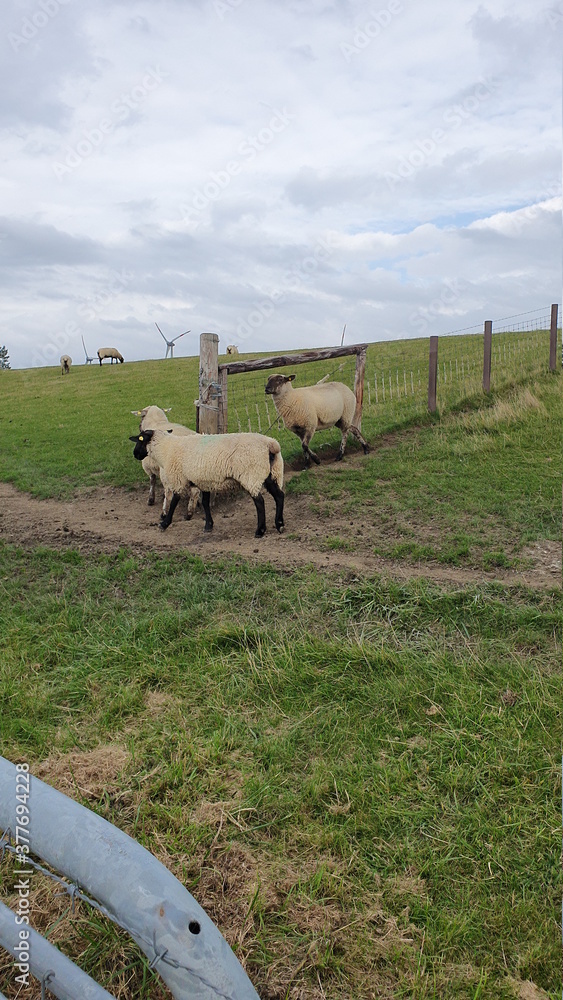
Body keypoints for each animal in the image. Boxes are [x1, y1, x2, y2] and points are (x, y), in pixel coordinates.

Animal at [129, 429, 285, 537]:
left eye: (140, 440)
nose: (135, 454)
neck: (166, 450)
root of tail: (271, 444)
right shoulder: (204, 481)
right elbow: (204, 503)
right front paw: (209, 525)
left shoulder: (179, 479)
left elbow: (174, 502)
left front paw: (164, 524)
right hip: (272, 474)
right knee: (279, 496)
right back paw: (280, 524)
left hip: (252, 475)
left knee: (260, 502)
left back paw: (260, 531)